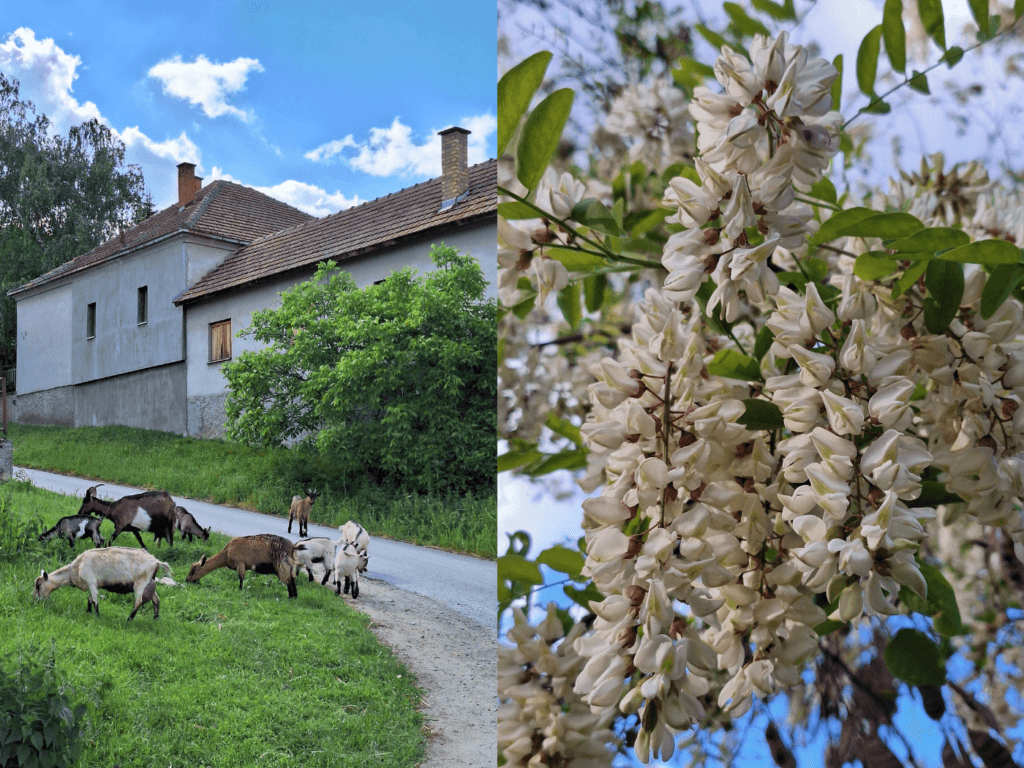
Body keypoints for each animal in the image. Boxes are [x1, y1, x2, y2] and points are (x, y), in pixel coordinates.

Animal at [33, 544, 171, 622]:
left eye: (38, 585)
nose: (35, 600)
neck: (76, 568)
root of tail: (156, 561)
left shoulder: (92, 582)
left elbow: (95, 601)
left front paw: (97, 617)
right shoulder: (91, 585)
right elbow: (89, 600)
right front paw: (88, 613)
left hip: (140, 584)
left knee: (138, 602)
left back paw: (129, 620)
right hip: (149, 584)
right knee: (156, 600)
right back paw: (155, 619)